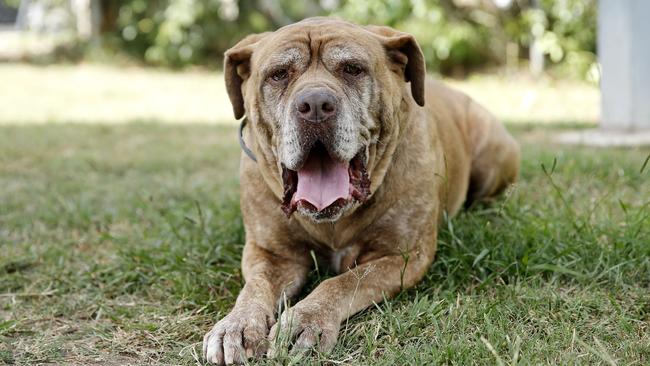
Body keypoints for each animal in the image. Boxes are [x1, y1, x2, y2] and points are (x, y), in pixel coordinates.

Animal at [201, 17, 516, 366]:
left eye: (352, 69)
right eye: (279, 74)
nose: (314, 105)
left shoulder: (402, 256)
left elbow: (343, 282)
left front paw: (306, 318)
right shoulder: (271, 254)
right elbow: (255, 286)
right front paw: (237, 324)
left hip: (492, 155)